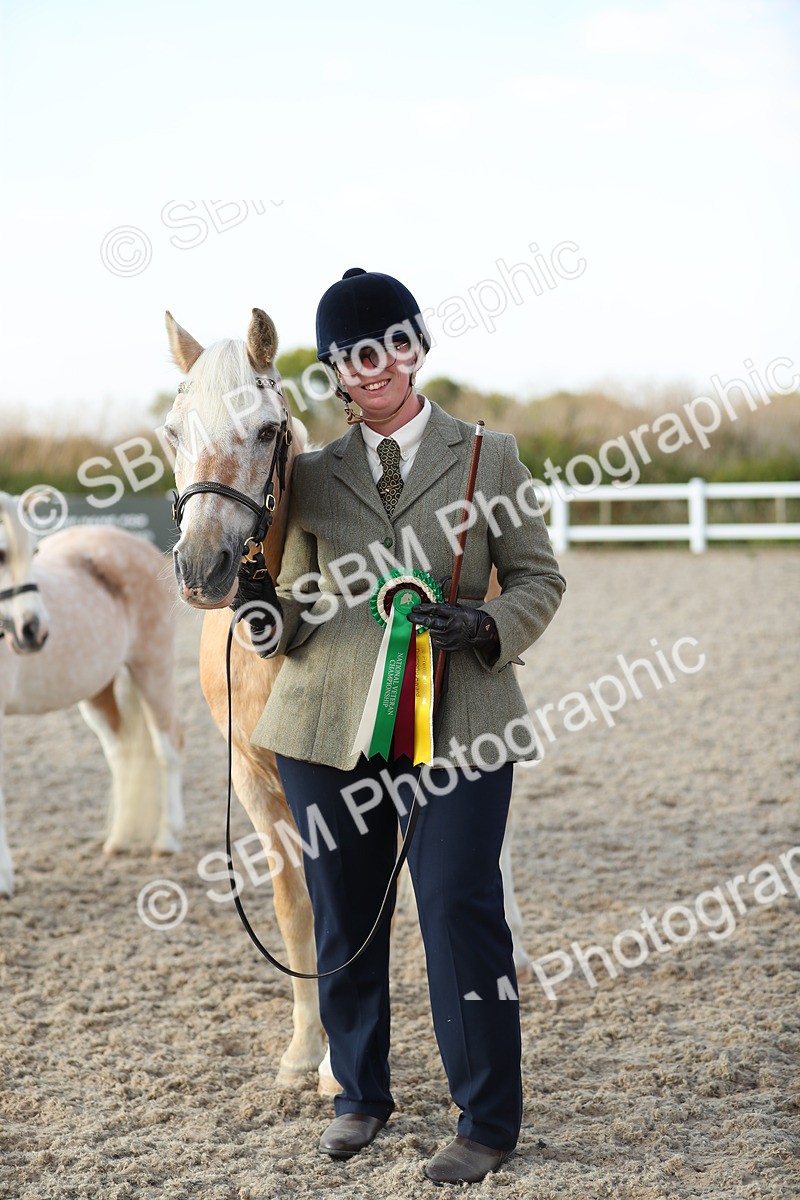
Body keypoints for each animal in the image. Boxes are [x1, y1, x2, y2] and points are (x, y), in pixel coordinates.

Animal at [0, 493, 183, 898]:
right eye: (1, 553)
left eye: (34, 551)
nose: (33, 631)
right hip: (98, 692)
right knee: (121, 754)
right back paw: (119, 841)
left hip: (154, 670)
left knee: (168, 749)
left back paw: (166, 841)